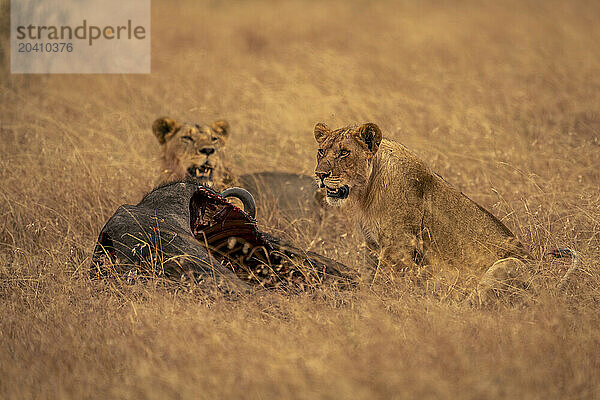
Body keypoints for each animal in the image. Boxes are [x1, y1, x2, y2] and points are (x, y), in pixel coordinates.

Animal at [312, 121, 576, 304]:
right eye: (321, 151)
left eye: (344, 152)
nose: (320, 175)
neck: (366, 192)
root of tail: (548, 287)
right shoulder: (372, 246)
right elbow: (369, 277)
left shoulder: (397, 247)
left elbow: (381, 284)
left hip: (510, 264)